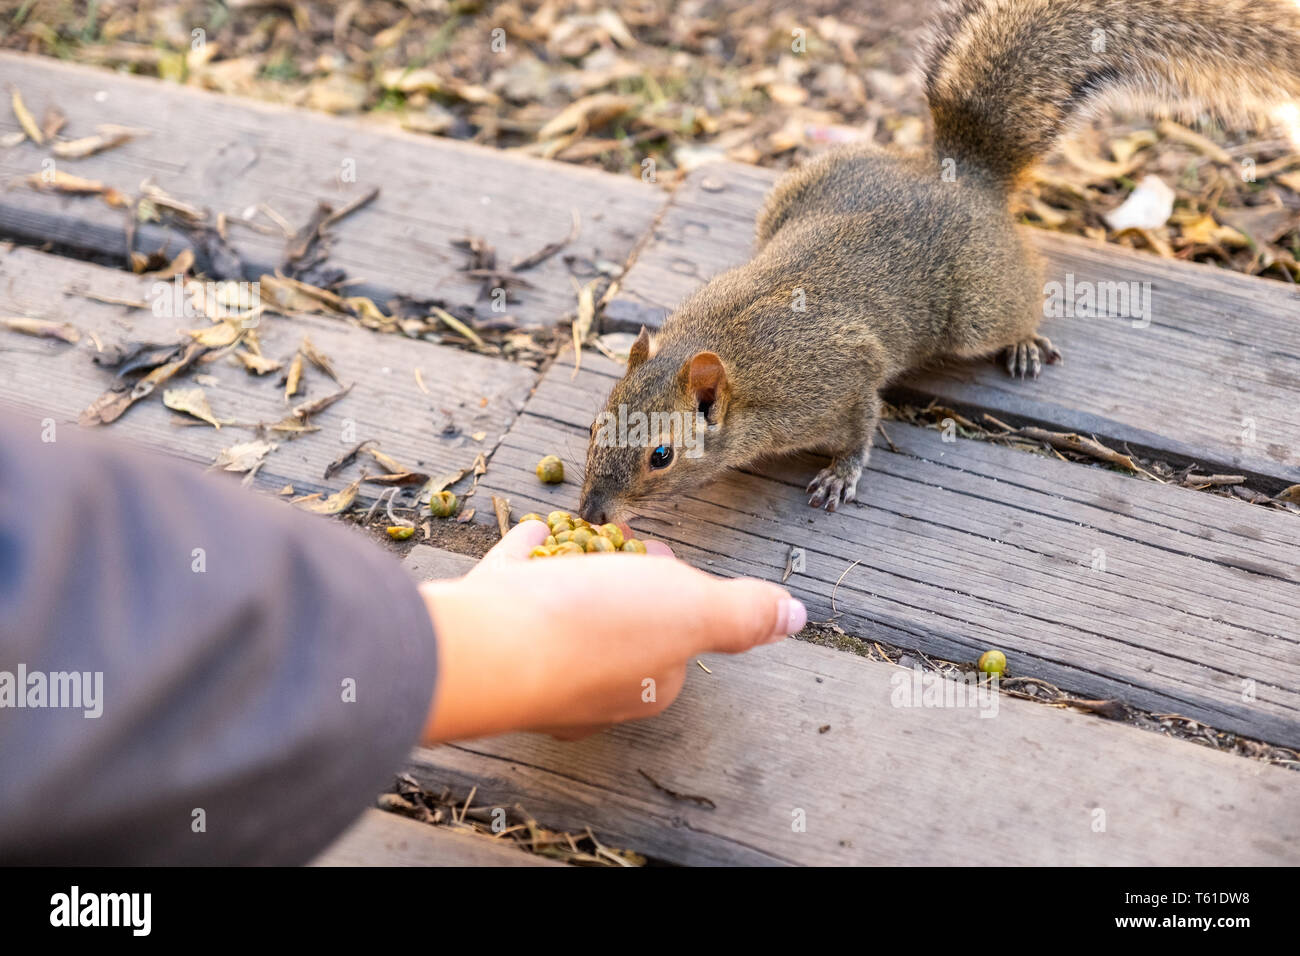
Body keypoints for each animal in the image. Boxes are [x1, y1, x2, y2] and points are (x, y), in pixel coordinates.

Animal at [579, 0, 1300, 524]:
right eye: (594, 421)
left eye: (662, 455)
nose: (590, 515)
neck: (733, 356)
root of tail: (959, 172)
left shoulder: (839, 378)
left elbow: (862, 424)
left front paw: (840, 475)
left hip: (980, 304)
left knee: (1020, 303)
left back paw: (1025, 343)